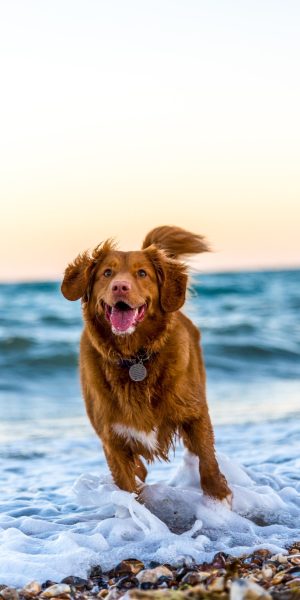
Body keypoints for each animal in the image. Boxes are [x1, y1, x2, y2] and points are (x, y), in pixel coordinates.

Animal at [60, 225, 230, 502]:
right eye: (107, 273)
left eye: (142, 273)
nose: (120, 286)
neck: (134, 358)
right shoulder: (112, 440)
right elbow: (128, 486)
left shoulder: (195, 413)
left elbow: (207, 458)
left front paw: (219, 495)